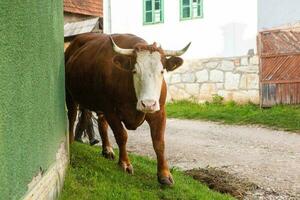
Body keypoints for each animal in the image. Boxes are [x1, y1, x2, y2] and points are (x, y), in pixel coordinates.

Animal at [65, 33, 190, 186]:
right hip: (69, 94)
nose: (148, 104)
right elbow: (122, 136)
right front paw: (124, 163)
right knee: (72, 116)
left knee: (101, 123)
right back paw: (71, 141)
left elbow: (159, 142)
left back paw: (107, 149)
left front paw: (164, 174)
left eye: (161, 71)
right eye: (135, 71)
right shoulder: (111, 110)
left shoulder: (159, 112)